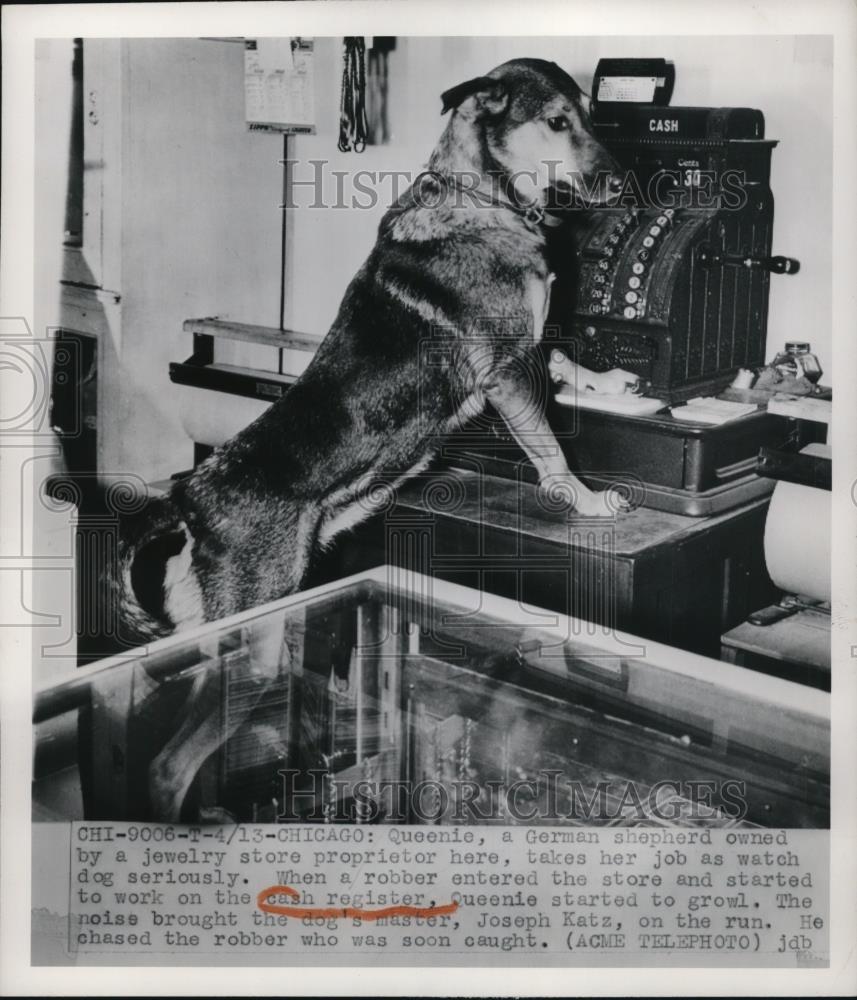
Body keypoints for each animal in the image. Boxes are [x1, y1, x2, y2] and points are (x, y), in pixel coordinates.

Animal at [100, 56, 640, 820]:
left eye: (591, 116)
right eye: (558, 121)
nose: (624, 183)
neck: (484, 197)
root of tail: (189, 496)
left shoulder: (530, 353)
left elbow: (567, 362)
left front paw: (612, 381)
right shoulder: (508, 372)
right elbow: (550, 450)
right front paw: (587, 500)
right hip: (256, 645)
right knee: (167, 766)